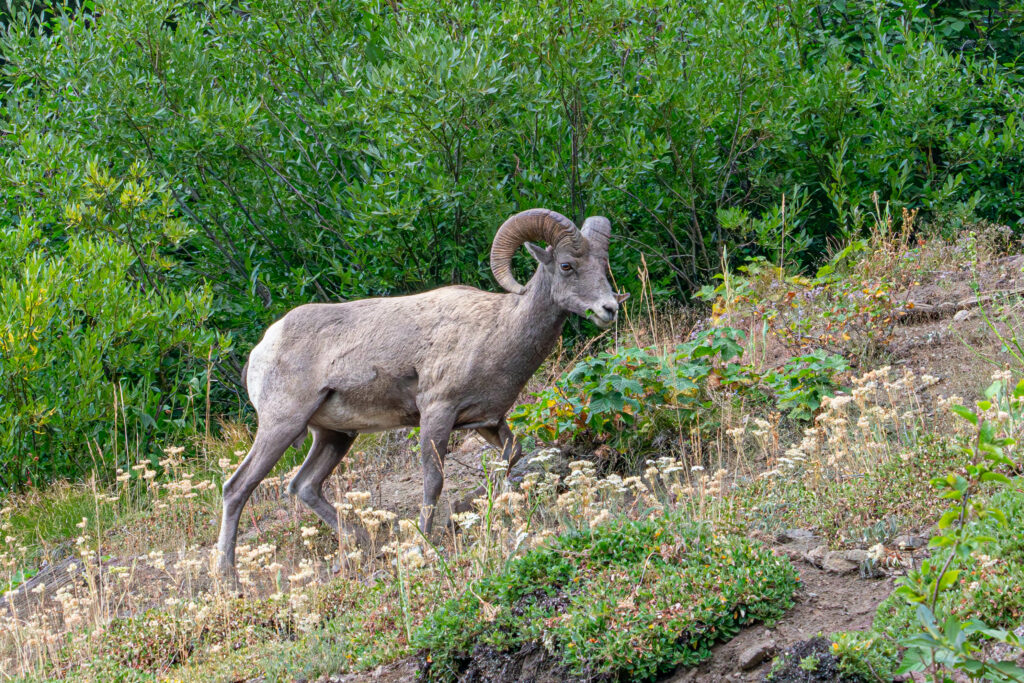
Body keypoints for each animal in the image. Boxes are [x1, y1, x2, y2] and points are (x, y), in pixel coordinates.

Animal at [218, 209, 622, 577]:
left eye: (602, 265)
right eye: (567, 266)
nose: (609, 309)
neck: (499, 330)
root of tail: (262, 349)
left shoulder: (488, 422)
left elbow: (512, 458)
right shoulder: (437, 414)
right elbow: (433, 481)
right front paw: (426, 541)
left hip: (334, 436)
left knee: (304, 486)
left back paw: (363, 542)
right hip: (282, 426)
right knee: (236, 488)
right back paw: (228, 575)